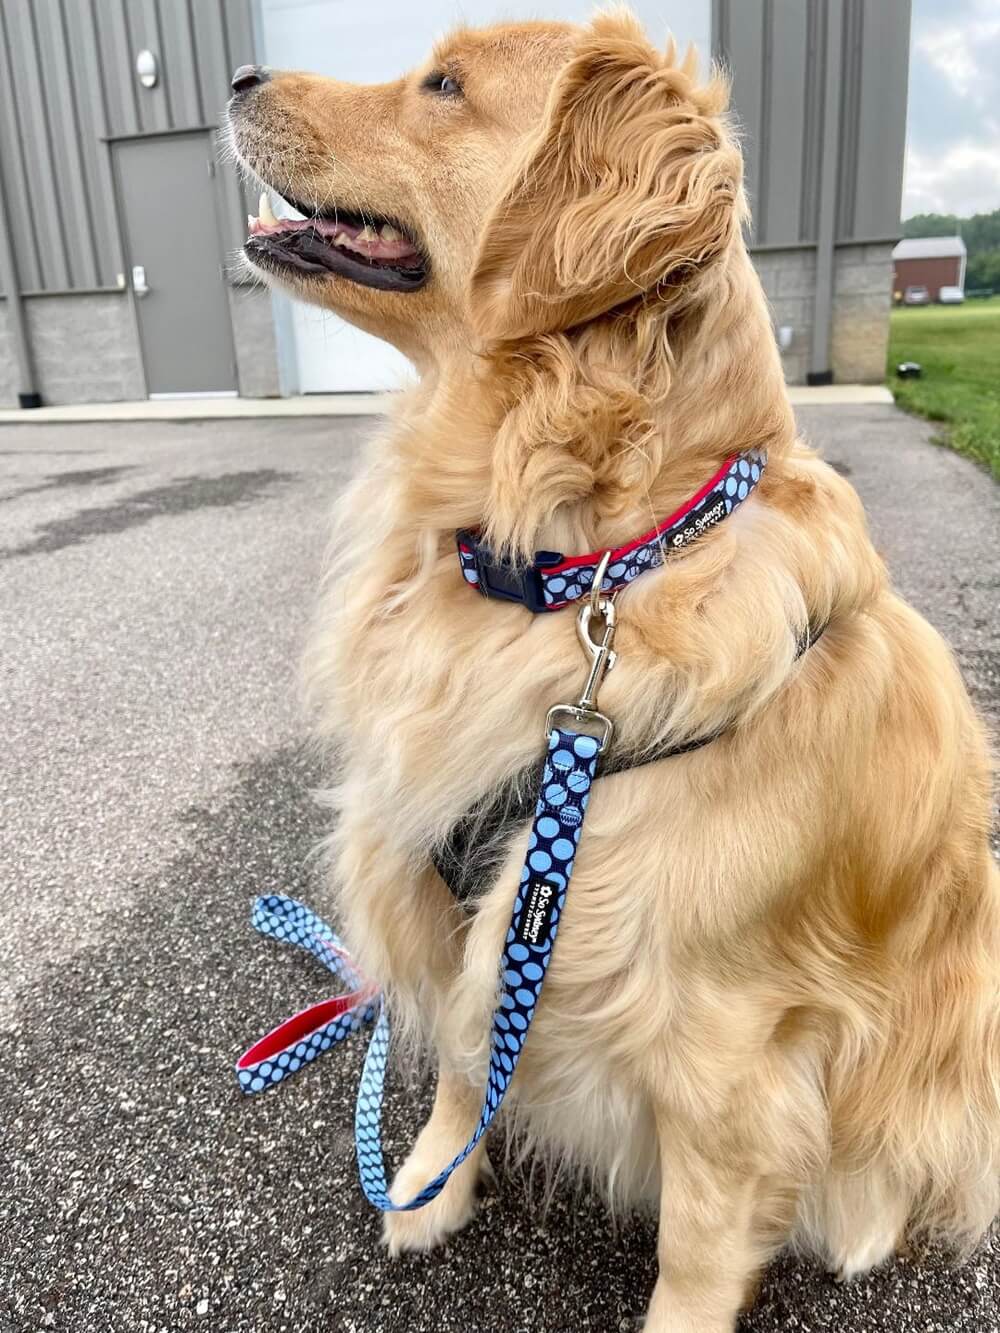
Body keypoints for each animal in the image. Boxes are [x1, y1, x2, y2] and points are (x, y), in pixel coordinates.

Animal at [226, 15, 1000, 1327]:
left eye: (443, 84)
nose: (236, 76)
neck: (576, 560)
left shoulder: (728, 1037)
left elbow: (698, 1238)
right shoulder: (462, 897)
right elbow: (466, 1056)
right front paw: (429, 1180)